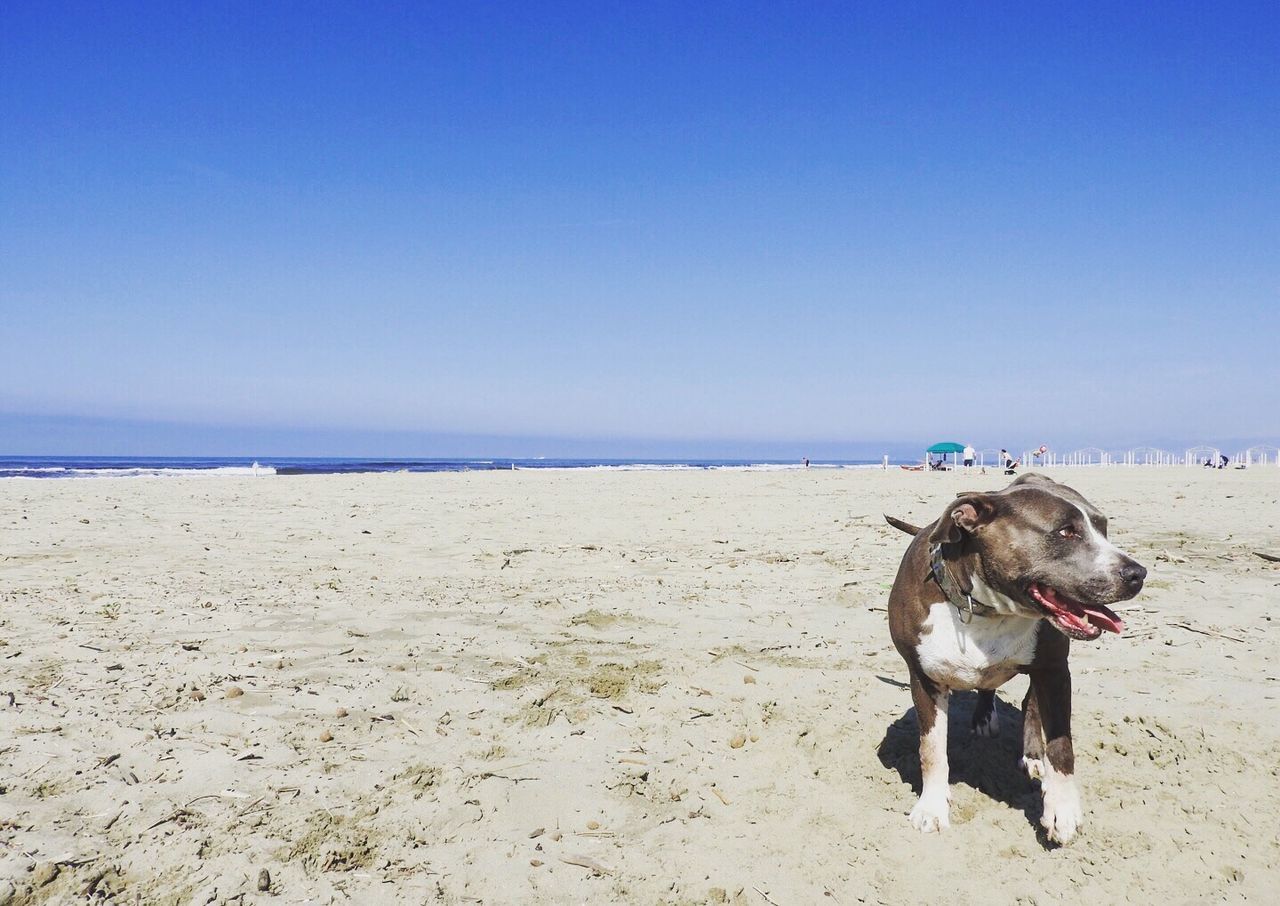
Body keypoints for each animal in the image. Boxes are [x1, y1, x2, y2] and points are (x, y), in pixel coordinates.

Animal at [885, 470, 1146, 844]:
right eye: (1066, 532)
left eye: (1103, 527)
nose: (1137, 574)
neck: (985, 608)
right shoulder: (923, 678)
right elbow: (931, 747)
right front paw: (932, 807)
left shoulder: (1054, 671)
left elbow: (1061, 744)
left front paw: (1062, 810)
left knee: (1030, 706)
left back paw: (1031, 754)